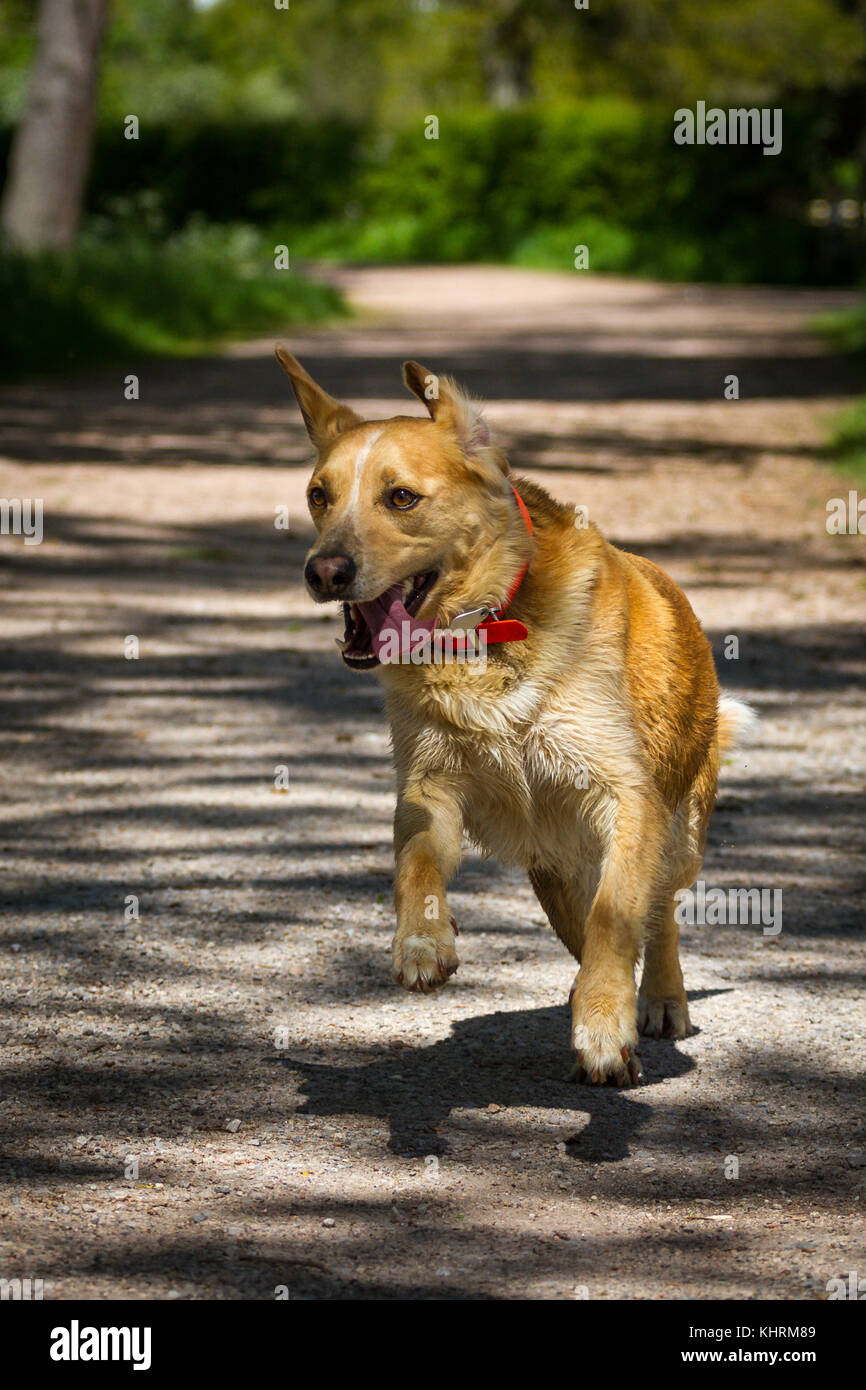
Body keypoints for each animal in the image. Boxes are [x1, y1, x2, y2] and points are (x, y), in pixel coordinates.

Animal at [276, 341, 750, 1078]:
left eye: (401, 498)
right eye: (317, 496)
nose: (324, 572)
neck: (488, 631)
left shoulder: (626, 797)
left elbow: (619, 917)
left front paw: (607, 1023)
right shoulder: (430, 788)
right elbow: (414, 866)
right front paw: (422, 941)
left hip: (681, 837)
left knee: (658, 913)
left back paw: (656, 1002)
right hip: (553, 872)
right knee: (590, 930)